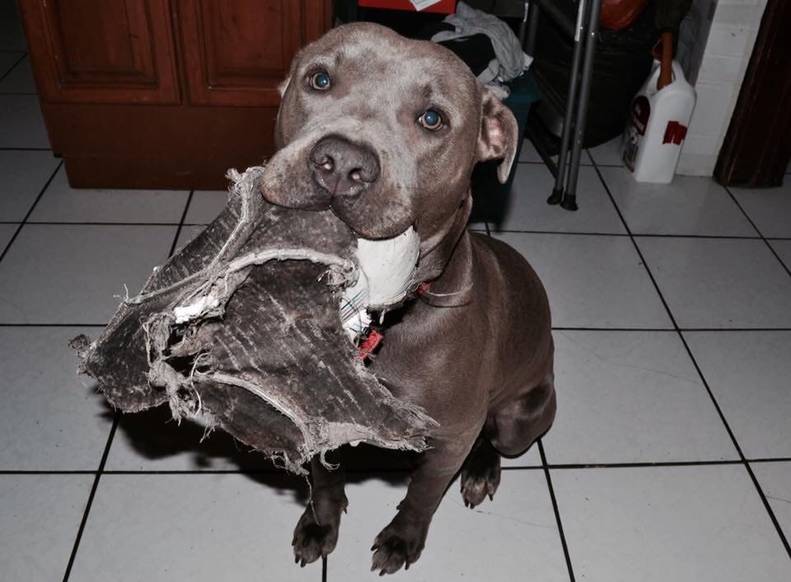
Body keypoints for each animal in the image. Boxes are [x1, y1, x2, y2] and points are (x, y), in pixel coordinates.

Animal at [260, 24, 556, 580]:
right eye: (320, 79)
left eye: (432, 118)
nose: (341, 164)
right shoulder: (316, 411)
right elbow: (323, 479)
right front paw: (320, 522)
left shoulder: (450, 435)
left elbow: (422, 495)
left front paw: (402, 539)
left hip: (520, 416)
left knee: (494, 438)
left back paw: (481, 470)